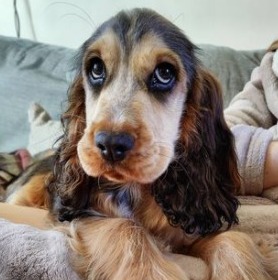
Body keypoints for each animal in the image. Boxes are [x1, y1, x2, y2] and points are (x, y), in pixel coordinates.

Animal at [6, 8, 278, 280]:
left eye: (165, 73)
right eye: (96, 68)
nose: (110, 144)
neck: (136, 189)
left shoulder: (190, 226)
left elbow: (233, 239)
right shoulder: (82, 215)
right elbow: (125, 227)